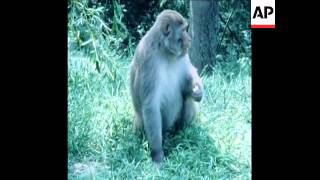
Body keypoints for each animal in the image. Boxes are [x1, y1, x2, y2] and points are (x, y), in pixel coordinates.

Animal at [129, 9, 204, 165]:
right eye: (184, 30)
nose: (189, 39)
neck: (165, 50)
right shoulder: (148, 60)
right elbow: (151, 106)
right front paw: (158, 155)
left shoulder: (183, 55)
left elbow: (187, 80)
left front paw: (198, 91)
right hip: (143, 127)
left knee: (187, 99)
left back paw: (182, 133)